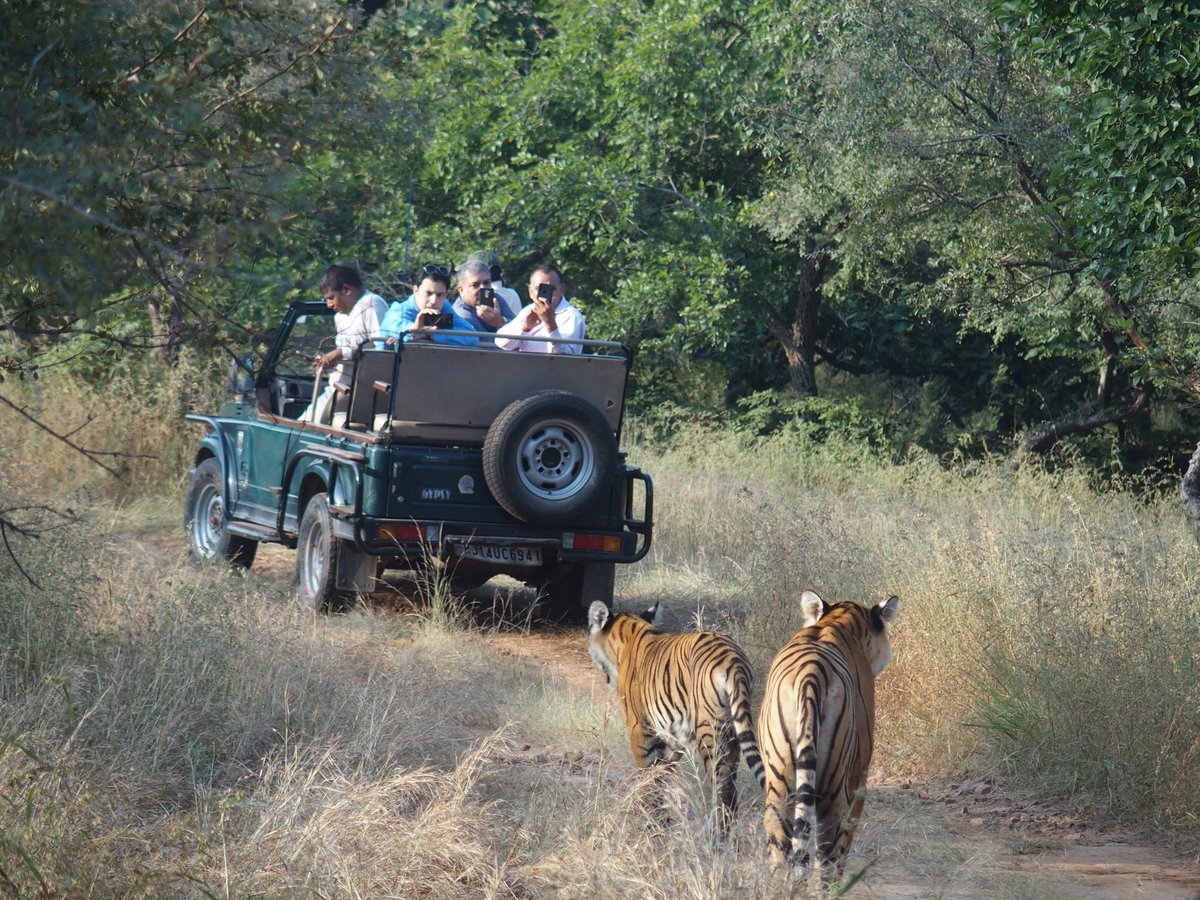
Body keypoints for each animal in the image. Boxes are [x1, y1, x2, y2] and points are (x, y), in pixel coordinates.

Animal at [586, 600, 765, 837]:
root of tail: (732, 659)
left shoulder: (639, 728)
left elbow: (647, 776)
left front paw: (649, 822)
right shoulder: (673, 736)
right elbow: (661, 774)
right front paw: (662, 820)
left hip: (709, 732)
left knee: (724, 787)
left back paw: (717, 837)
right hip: (734, 733)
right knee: (732, 790)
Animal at [757, 590, 900, 887]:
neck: (839, 619)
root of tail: (810, 674)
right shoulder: (858, 776)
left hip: (779, 782)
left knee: (780, 845)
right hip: (834, 785)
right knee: (827, 855)